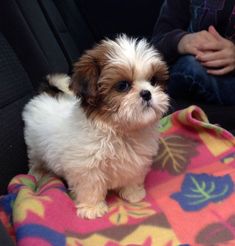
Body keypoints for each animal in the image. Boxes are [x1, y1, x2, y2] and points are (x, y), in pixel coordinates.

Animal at [22, 34, 169, 219]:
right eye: (123, 86)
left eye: (153, 81)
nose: (147, 93)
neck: (118, 130)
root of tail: (46, 93)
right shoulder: (86, 167)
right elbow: (90, 187)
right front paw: (91, 208)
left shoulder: (135, 162)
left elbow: (132, 177)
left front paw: (133, 193)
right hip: (34, 145)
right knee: (36, 159)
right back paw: (38, 172)